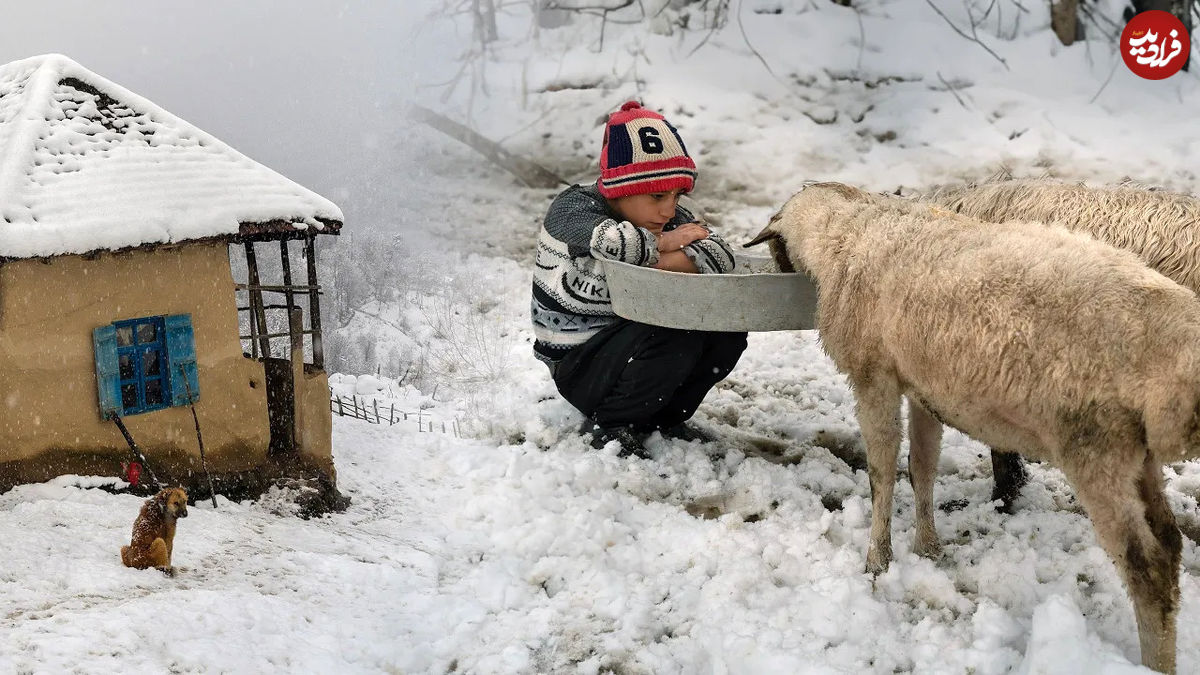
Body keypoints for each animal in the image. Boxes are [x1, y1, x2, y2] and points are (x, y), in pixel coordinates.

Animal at [748, 181, 1200, 667]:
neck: (850, 229)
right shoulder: (923, 387)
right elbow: (922, 466)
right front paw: (928, 549)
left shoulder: (874, 377)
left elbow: (882, 472)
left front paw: (877, 562)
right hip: (1139, 454)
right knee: (1170, 543)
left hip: (1096, 449)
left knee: (1146, 565)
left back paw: (1153, 663)